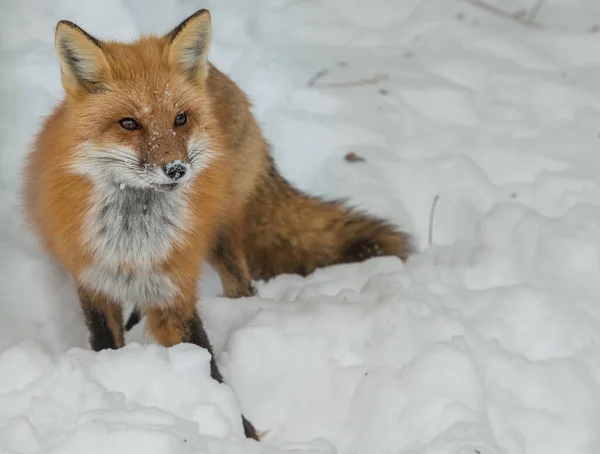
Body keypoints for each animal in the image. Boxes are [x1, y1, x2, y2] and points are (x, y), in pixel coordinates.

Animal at [18, 7, 412, 440]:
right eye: (129, 124)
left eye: (180, 119)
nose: (176, 169)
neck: (135, 241)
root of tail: (222, 80)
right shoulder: (93, 281)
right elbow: (108, 344)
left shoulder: (174, 291)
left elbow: (207, 365)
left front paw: (241, 432)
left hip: (222, 236)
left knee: (243, 287)